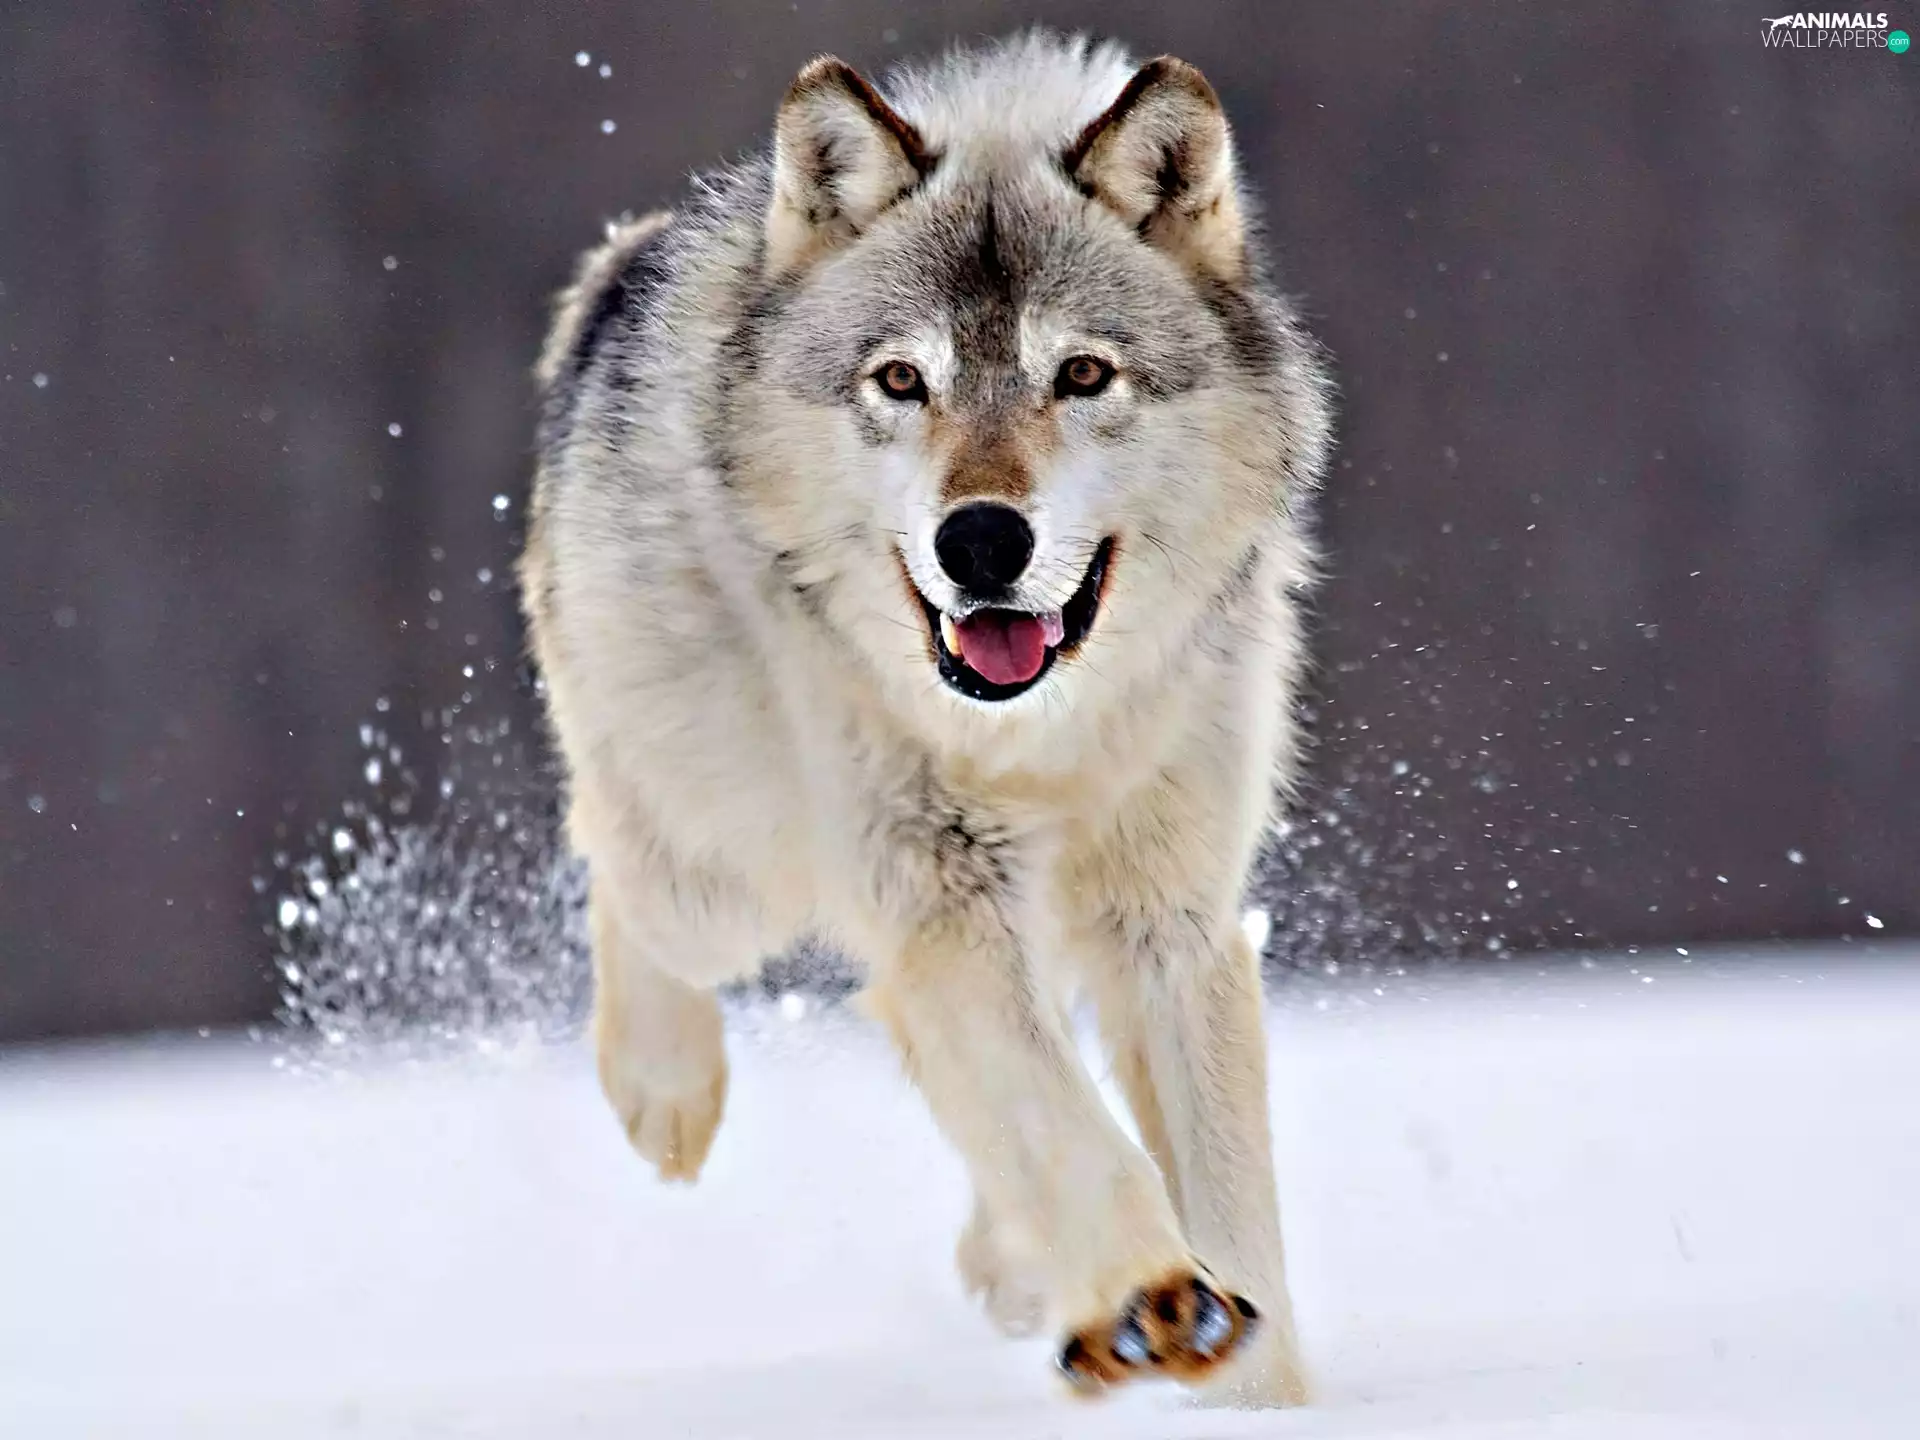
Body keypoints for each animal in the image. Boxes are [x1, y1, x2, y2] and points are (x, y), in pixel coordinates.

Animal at [518, 31, 1333, 1407]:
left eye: (1083, 374)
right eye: (902, 380)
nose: (982, 541)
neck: (1037, 740)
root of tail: (626, 264)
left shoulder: (1173, 924)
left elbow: (1231, 1206)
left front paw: (1248, 1391)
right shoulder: (938, 898)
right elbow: (1069, 1129)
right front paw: (1153, 1298)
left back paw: (1016, 1270)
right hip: (721, 872)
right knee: (619, 866)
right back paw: (664, 1093)